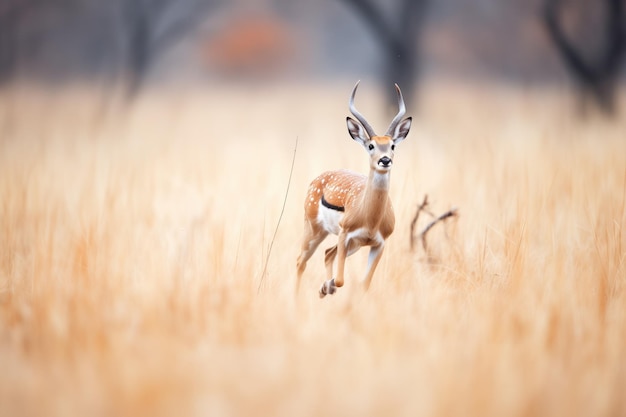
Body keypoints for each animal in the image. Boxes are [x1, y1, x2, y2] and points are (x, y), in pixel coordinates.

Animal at [296, 80, 410, 296]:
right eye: (371, 146)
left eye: (392, 145)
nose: (385, 160)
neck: (371, 218)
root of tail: (318, 179)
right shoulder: (344, 235)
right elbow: (341, 280)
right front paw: (328, 286)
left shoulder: (378, 245)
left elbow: (364, 284)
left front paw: (327, 287)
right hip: (315, 231)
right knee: (301, 261)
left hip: (353, 245)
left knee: (327, 253)